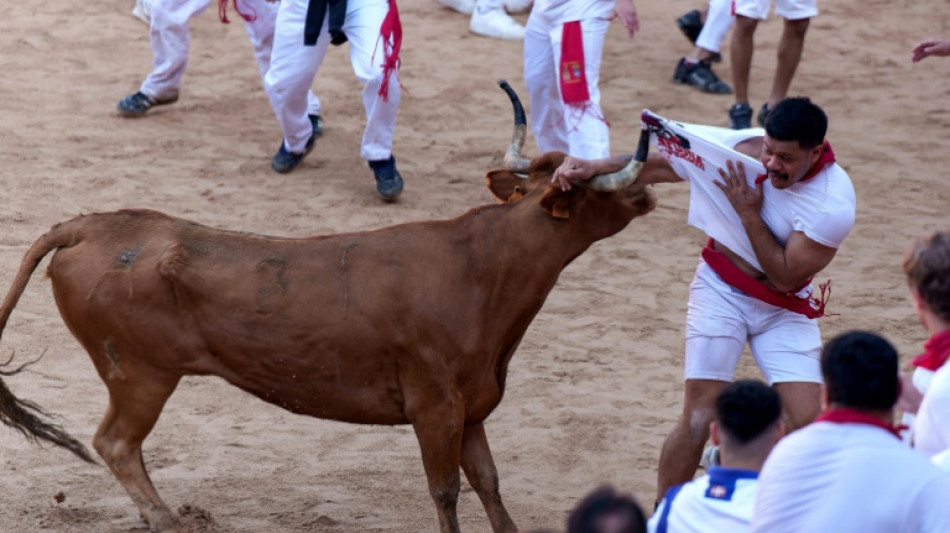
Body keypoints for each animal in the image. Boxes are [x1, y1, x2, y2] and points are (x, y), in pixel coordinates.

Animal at [0, 84, 660, 532]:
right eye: (595, 182)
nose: (648, 184)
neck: (484, 266)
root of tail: (89, 225)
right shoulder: (434, 407)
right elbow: (446, 489)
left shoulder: (471, 407)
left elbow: (490, 485)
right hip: (141, 375)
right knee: (116, 443)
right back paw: (170, 520)